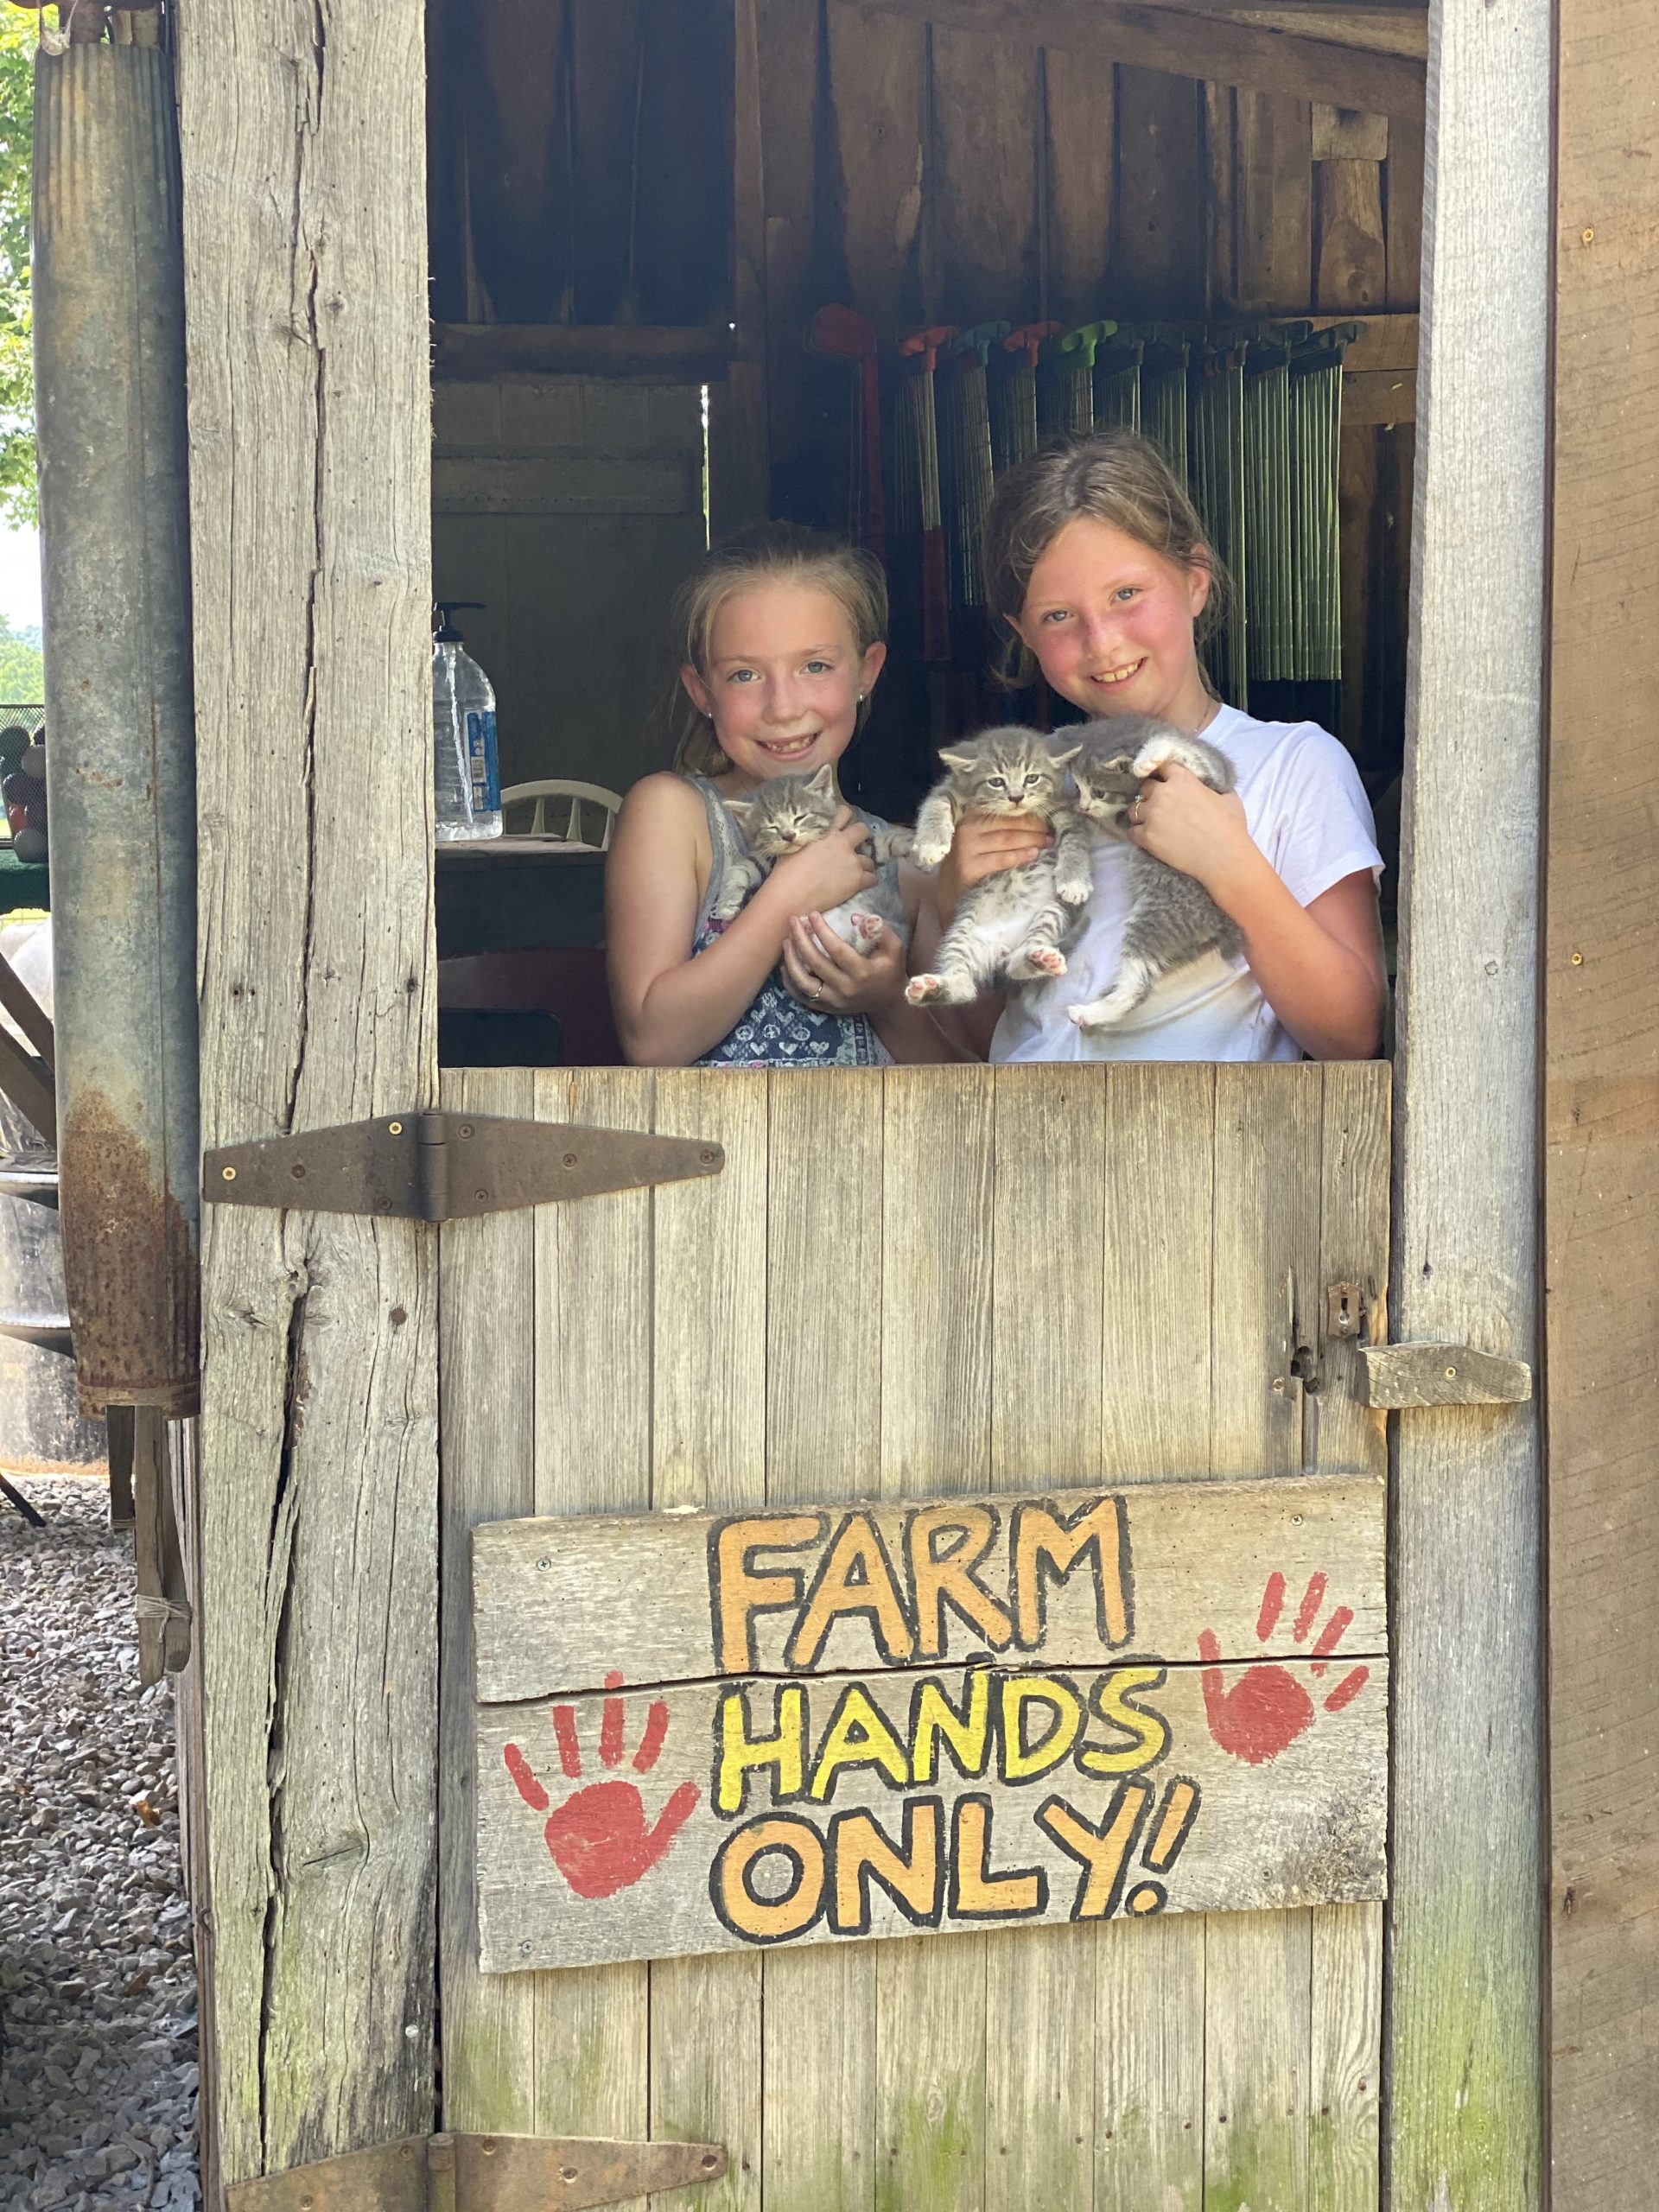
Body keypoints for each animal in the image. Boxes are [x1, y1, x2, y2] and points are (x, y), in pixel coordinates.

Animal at [715, 765, 912, 954]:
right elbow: (741, 868)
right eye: (772, 827)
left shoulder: (862, 850)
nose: (788, 836)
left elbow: (883, 844)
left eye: (800, 817)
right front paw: (727, 900)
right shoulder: (766, 856)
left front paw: (911, 845)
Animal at [904, 728, 1094, 1006]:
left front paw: (1074, 881)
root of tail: (1001, 950)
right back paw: (935, 989)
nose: (1016, 797)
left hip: (1051, 913)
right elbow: (936, 804)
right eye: (996, 782)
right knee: (965, 985)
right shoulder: (952, 790)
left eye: (1032, 778)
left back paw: (1037, 960)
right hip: (962, 933)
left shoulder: (1062, 808)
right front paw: (931, 843)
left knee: (1016, 963)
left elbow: (1075, 839)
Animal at [1063, 715, 1244, 1030]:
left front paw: (1149, 757)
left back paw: (1092, 1012)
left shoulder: (1214, 775)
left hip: (1160, 914)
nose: (1084, 806)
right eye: (1077, 787)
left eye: (1099, 791)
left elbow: (1185, 751)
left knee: (1138, 985)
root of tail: (1220, 924)